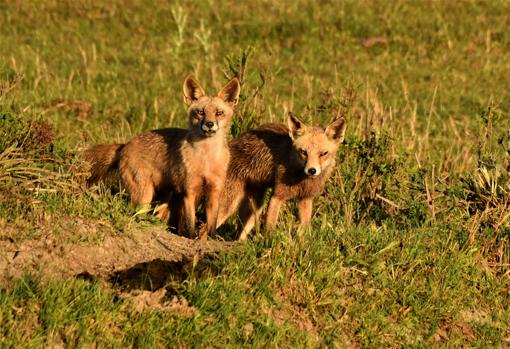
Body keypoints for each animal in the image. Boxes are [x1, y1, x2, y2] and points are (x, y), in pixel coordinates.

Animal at [81, 75, 241, 239]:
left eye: (219, 113)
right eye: (201, 112)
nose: (209, 124)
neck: (206, 162)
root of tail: (125, 144)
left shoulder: (215, 192)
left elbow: (212, 226)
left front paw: (210, 239)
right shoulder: (189, 191)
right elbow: (190, 225)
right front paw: (190, 238)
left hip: (163, 195)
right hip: (144, 196)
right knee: (135, 215)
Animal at [211, 111, 346, 239]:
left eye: (323, 154)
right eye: (303, 152)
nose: (312, 170)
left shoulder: (306, 198)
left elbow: (304, 229)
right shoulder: (277, 195)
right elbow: (270, 228)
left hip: (255, 209)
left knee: (240, 235)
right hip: (227, 206)